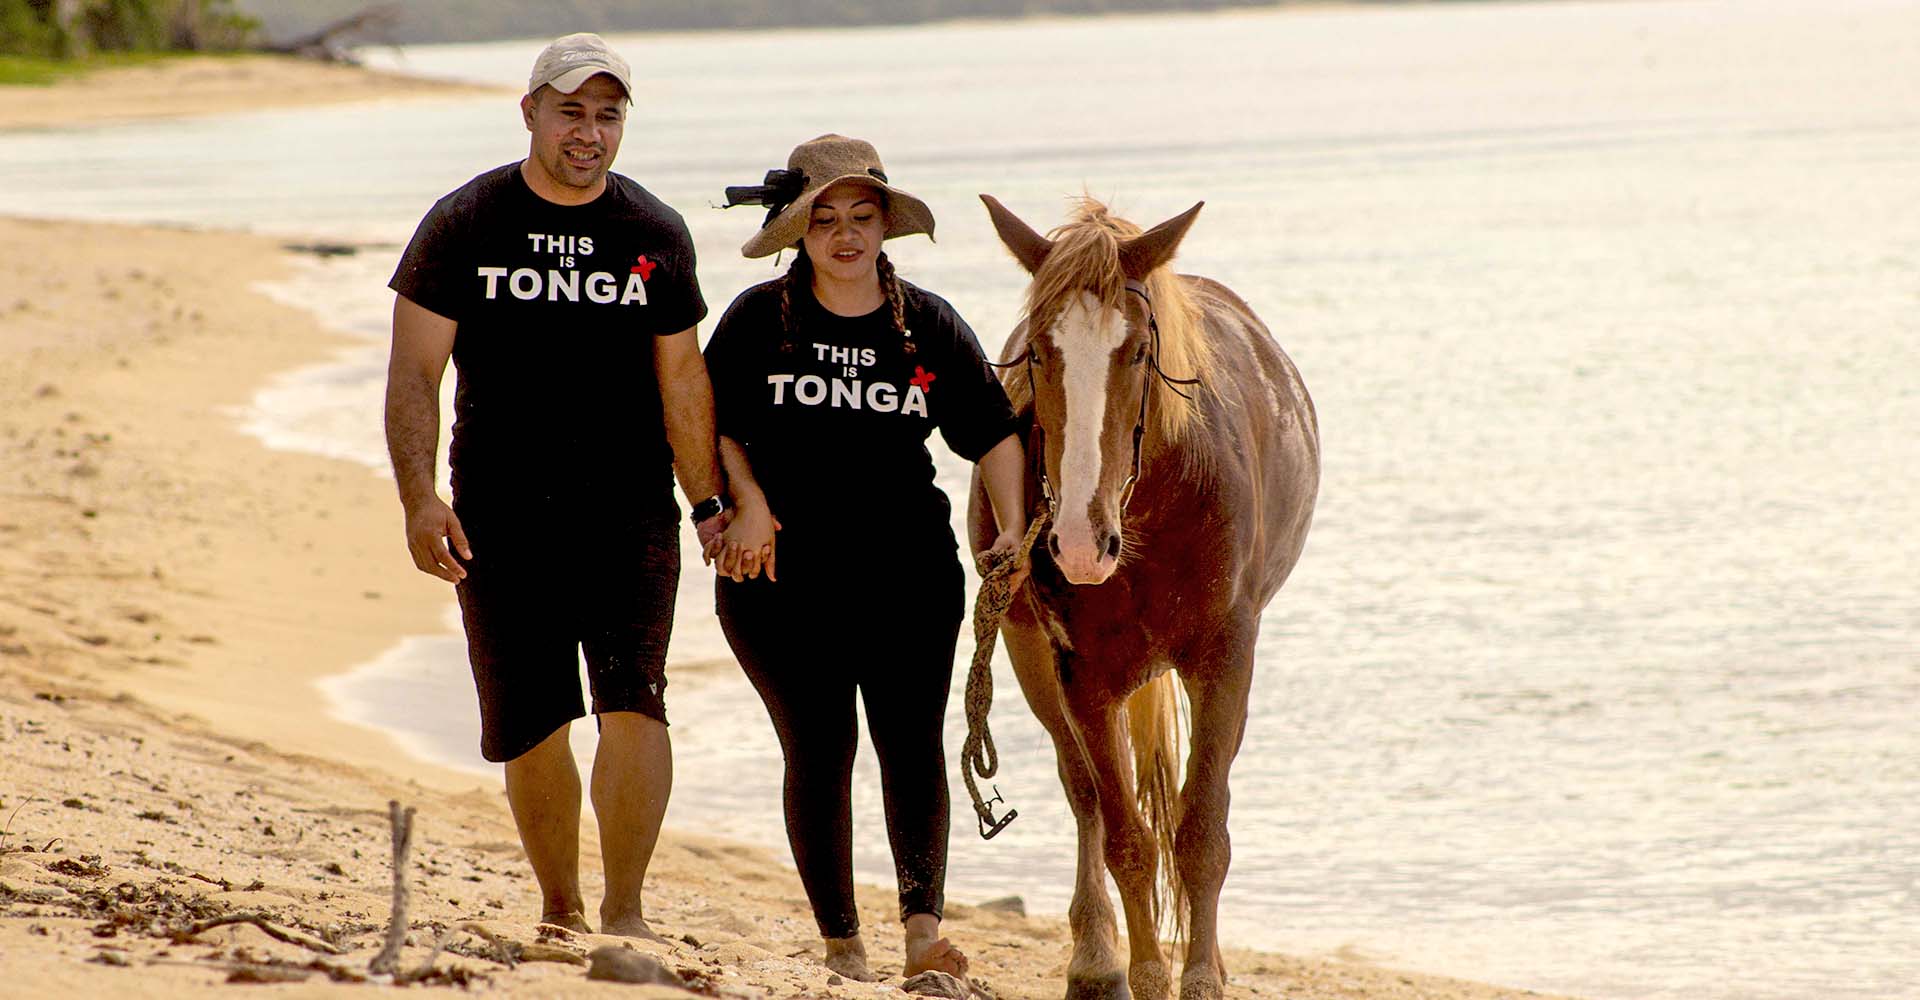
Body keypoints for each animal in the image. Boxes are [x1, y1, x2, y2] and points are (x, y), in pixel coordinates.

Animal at [967, 194, 1313, 998]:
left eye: (1135, 354)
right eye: (1038, 353)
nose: (1078, 543)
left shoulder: (1225, 658)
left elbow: (1201, 832)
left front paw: (1203, 978)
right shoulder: (1081, 676)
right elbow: (1125, 836)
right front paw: (1144, 973)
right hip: (1029, 654)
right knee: (1085, 795)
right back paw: (1096, 962)